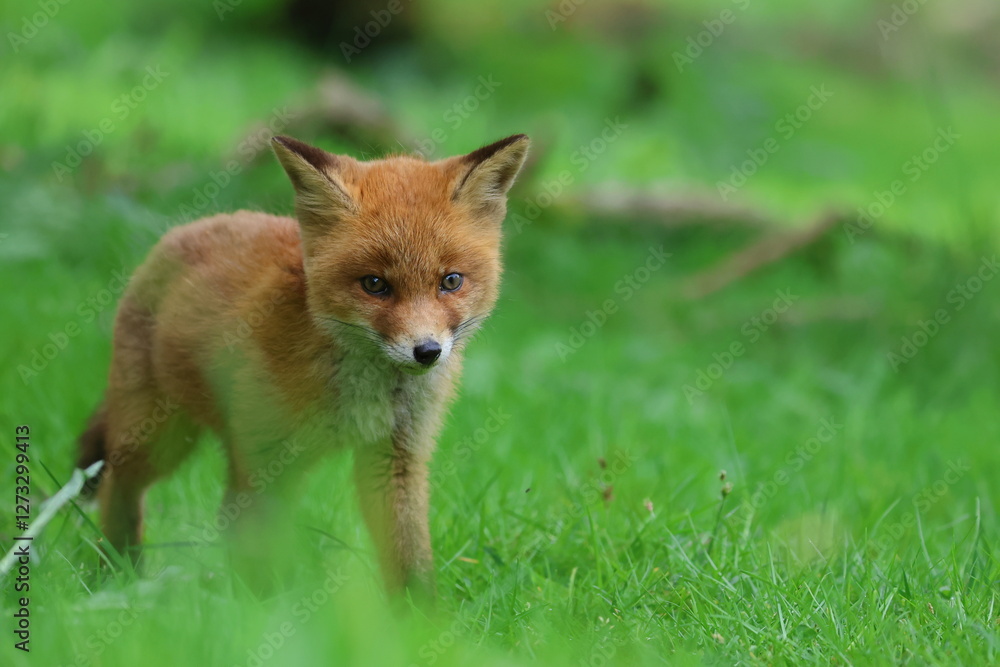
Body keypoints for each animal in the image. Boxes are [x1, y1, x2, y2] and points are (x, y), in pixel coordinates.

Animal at [75, 133, 530, 597]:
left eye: (450, 281)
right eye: (374, 284)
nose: (427, 351)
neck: (360, 392)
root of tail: (185, 229)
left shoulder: (395, 456)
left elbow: (409, 557)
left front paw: (418, 615)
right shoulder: (264, 455)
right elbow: (256, 546)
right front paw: (260, 608)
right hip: (161, 439)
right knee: (118, 484)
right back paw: (117, 573)